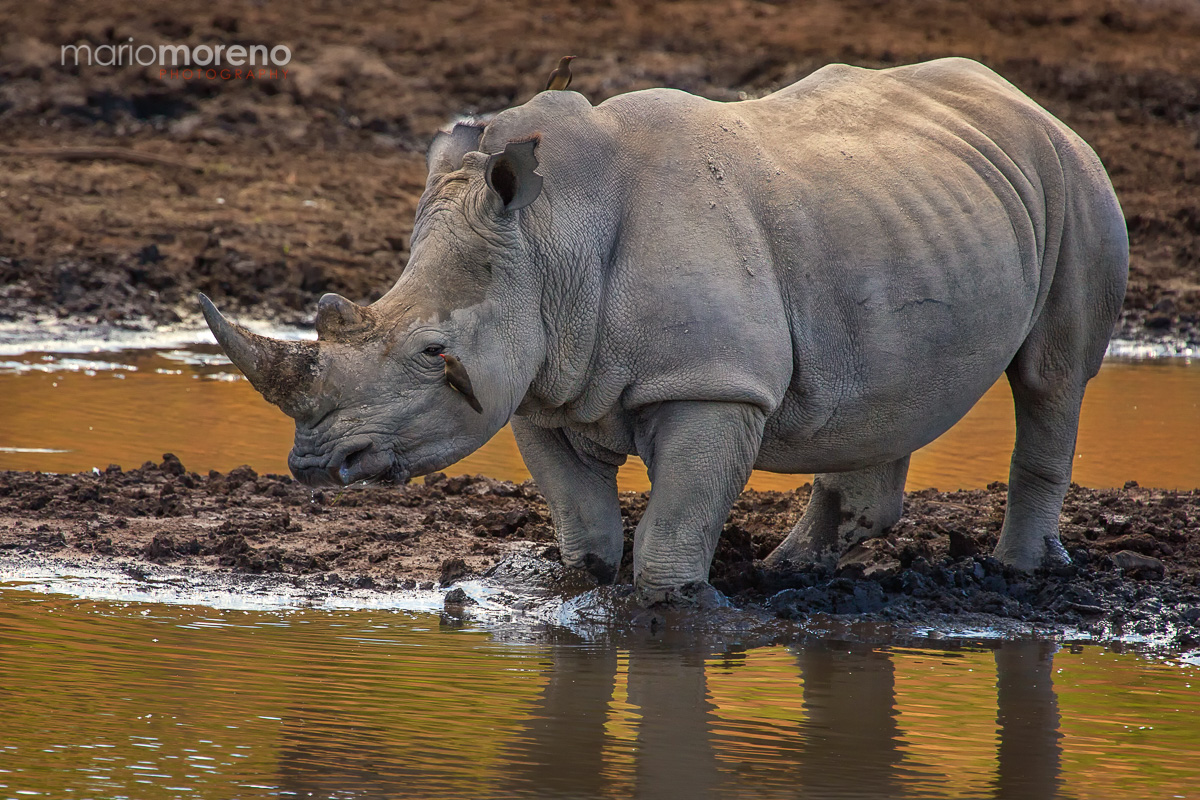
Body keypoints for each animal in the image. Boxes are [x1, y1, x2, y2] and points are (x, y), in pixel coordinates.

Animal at [201, 57, 1128, 598]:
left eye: (436, 353)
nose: (315, 466)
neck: (548, 240)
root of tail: (1021, 99)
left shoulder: (713, 386)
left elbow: (672, 538)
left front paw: (673, 607)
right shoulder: (539, 386)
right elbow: (583, 528)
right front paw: (583, 588)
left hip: (1075, 179)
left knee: (1051, 376)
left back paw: (1017, 575)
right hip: (904, 214)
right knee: (882, 387)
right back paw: (796, 570)